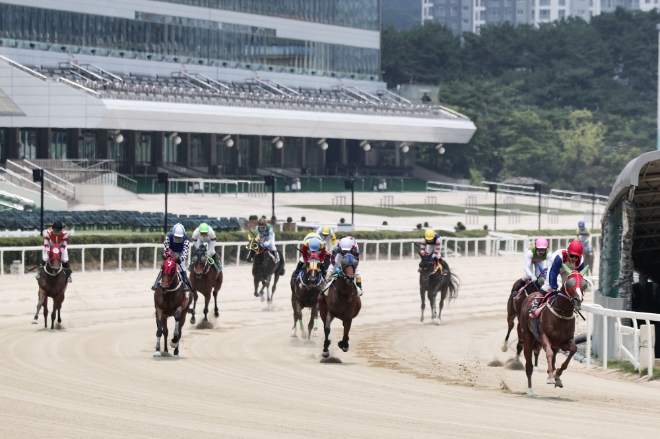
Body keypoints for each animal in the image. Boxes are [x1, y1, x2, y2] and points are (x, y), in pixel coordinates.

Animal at [520, 264, 588, 398]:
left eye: (584, 283)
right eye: (570, 282)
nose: (578, 300)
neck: (561, 314)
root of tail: (530, 296)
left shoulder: (564, 342)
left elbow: (573, 349)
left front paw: (557, 375)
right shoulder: (544, 337)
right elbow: (549, 353)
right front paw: (551, 377)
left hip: (555, 345)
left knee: (554, 358)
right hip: (528, 337)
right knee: (529, 365)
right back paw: (530, 390)